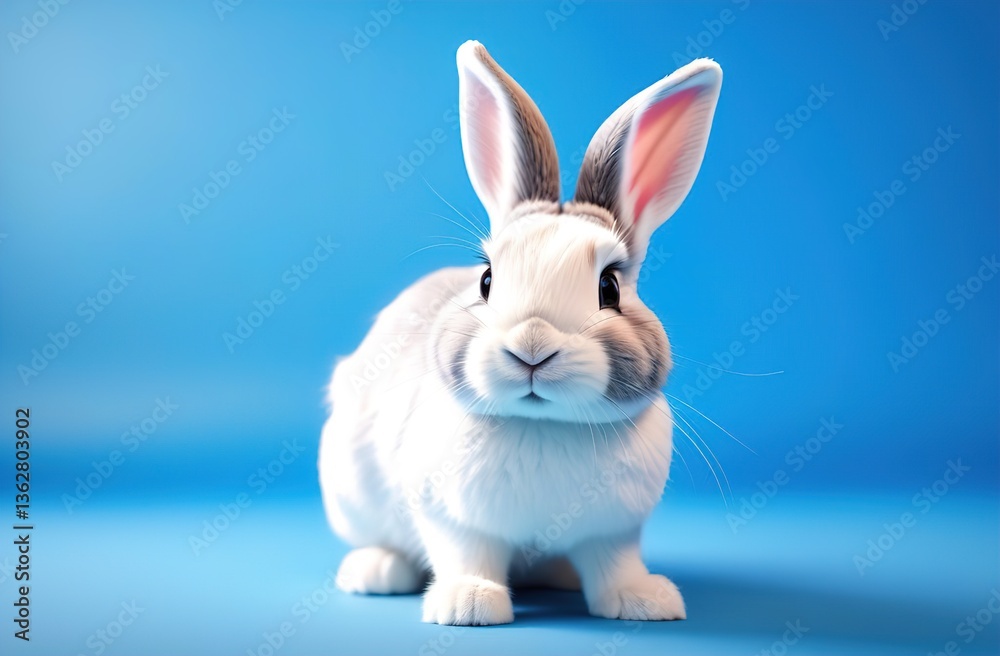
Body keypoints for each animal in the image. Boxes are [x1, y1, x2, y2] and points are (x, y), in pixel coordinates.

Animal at [319, 40, 722, 626]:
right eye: (487, 280)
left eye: (609, 288)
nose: (532, 347)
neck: (544, 425)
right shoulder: (450, 516)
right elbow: (466, 555)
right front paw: (468, 604)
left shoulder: (615, 530)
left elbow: (615, 564)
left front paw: (645, 600)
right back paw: (375, 571)